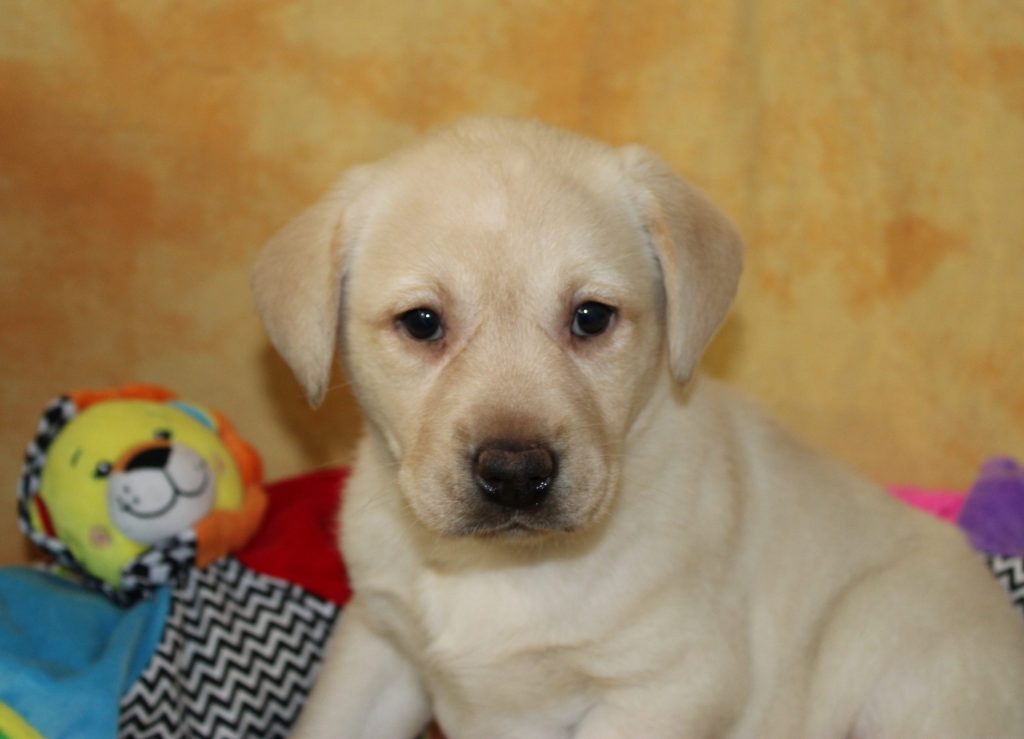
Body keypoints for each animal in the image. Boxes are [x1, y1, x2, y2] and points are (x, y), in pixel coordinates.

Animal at [253, 118, 1024, 738]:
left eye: (591, 317)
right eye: (421, 323)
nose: (515, 474)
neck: (502, 568)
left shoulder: (672, 684)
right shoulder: (375, 643)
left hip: (890, 637)